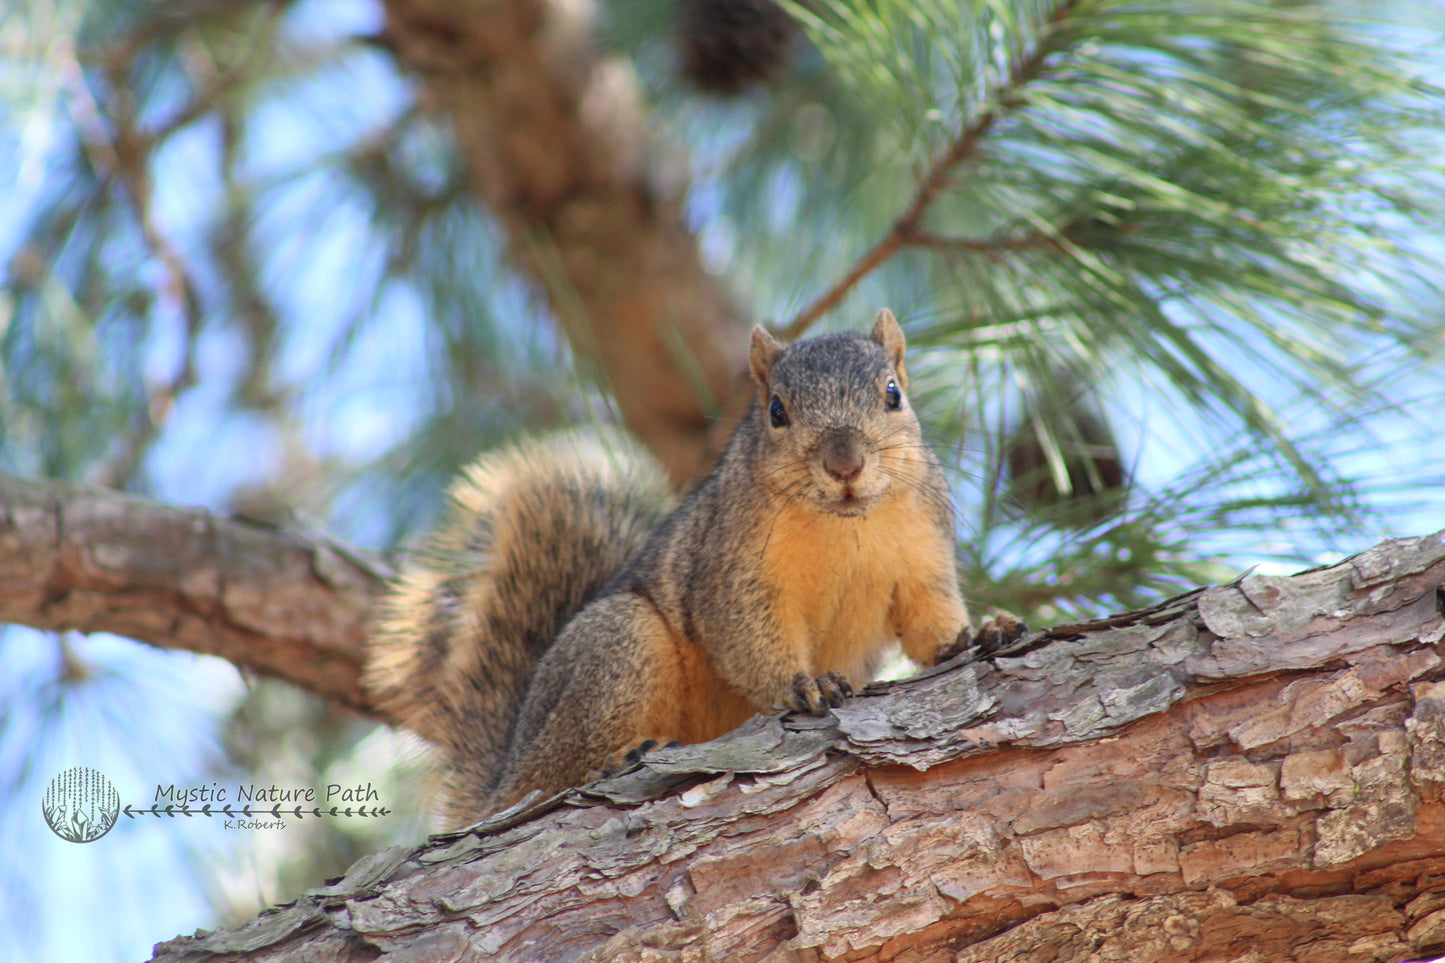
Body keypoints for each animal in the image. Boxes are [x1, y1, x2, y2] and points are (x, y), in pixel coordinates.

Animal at [367, 309, 1023, 827]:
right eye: (776, 410)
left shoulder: (922, 554)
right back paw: (617, 758)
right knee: (558, 769)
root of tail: (505, 773)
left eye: (893, 394)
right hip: (618, 645)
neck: (846, 527)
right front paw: (803, 683)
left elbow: (928, 620)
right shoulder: (732, 570)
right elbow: (745, 635)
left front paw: (978, 635)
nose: (845, 464)